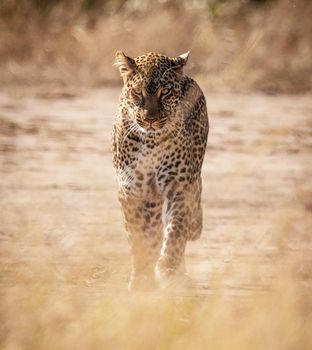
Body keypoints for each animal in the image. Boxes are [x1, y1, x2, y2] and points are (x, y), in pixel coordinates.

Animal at [112, 50, 210, 292]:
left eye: (164, 92)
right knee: (154, 229)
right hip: (151, 196)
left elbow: (176, 231)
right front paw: (141, 276)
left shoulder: (181, 186)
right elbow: (138, 236)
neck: (151, 141)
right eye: (138, 92)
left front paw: (168, 269)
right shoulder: (131, 191)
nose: (150, 120)